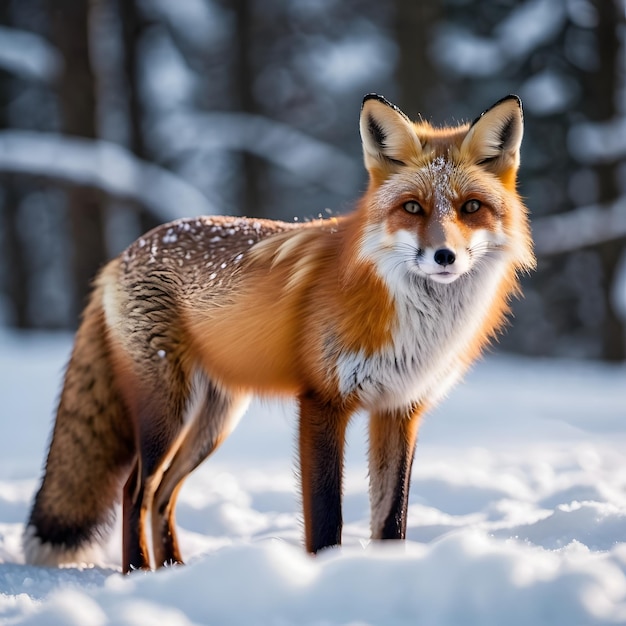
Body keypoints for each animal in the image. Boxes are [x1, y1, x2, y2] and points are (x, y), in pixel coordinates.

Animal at [23, 94, 532, 572]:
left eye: (471, 208)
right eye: (412, 208)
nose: (445, 256)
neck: (413, 322)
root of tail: (122, 255)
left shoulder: (399, 410)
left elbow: (393, 521)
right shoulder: (323, 402)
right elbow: (326, 521)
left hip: (214, 420)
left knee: (163, 494)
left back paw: (173, 573)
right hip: (167, 410)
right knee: (135, 489)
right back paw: (137, 575)